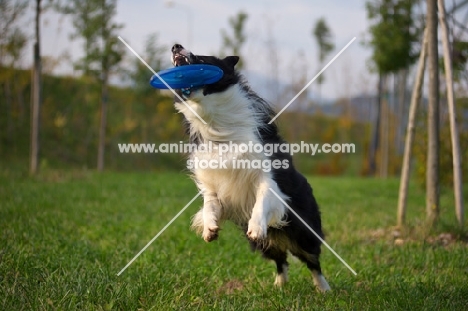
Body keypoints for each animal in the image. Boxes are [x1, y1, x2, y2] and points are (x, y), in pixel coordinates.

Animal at [171, 44, 330, 292]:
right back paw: (279, 285)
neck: (214, 120)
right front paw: (209, 228)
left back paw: (324, 289)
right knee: (280, 260)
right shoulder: (213, 184)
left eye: (203, 59)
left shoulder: (267, 175)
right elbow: (209, 205)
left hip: (303, 230)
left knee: (312, 260)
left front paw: (255, 227)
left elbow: (262, 198)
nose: (176, 46)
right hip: (269, 244)